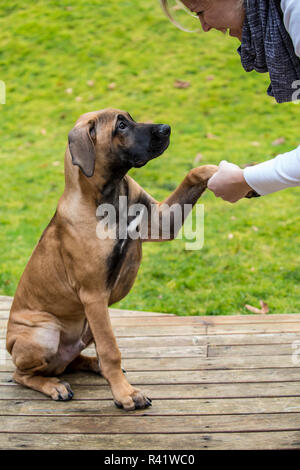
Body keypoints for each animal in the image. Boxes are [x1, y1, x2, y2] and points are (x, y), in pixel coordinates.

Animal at [7, 108, 218, 410]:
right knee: (22, 374)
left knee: (69, 360)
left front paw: (223, 172)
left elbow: (193, 173)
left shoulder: (163, 220)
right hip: (45, 333)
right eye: (121, 126)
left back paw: (89, 365)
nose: (166, 128)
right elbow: (111, 349)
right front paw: (125, 394)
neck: (110, 194)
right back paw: (54, 386)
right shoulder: (94, 295)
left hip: (86, 326)